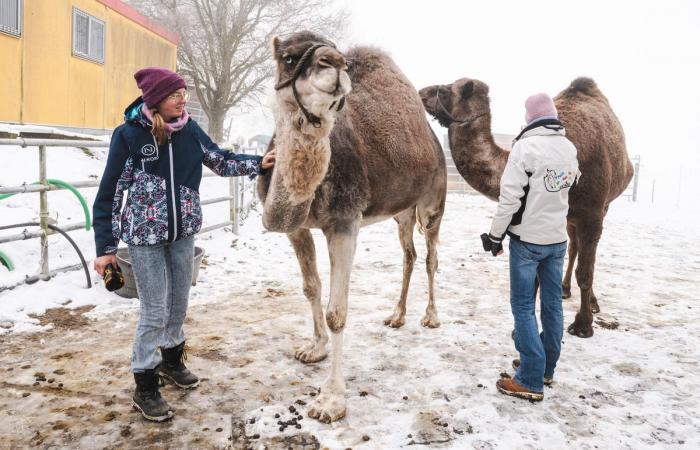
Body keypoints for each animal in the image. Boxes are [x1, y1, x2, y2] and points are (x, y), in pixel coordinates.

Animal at [258, 31, 448, 422]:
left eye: (340, 56)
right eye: (288, 58)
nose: (333, 64)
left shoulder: (345, 223)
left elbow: (337, 313)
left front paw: (330, 401)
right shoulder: (297, 229)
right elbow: (311, 288)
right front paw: (313, 349)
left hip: (432, 202)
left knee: (431, 256)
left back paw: (430, 317)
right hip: (401, 210)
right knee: (409, 254)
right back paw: (397, 315)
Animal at [418, 77, 636, 338]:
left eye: (445, 90)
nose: (420, 92)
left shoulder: (592, 212)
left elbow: (585, 272)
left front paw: (583, 325)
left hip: (603, 206)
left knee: (585, 253)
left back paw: (591, 302)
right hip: (570, 216)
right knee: (574, 246)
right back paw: (564, 289)